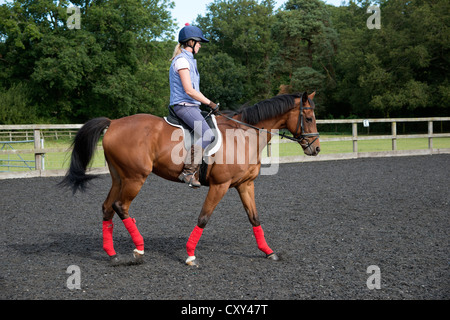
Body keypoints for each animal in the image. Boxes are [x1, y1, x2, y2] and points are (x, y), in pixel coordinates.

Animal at [60, 92, 320, 264]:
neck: (243, 136)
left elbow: (254, 218)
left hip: (119, 178)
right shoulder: (220, 185)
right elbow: (204, 217)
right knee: (120, 206)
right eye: (308, 119)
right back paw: (139, 250)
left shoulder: (245, 185)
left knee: (107, 208)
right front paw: (190, 254)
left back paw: (112, 255)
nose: (316, 149)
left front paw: (268, 251)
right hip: (135, 178)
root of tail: (113, 123)